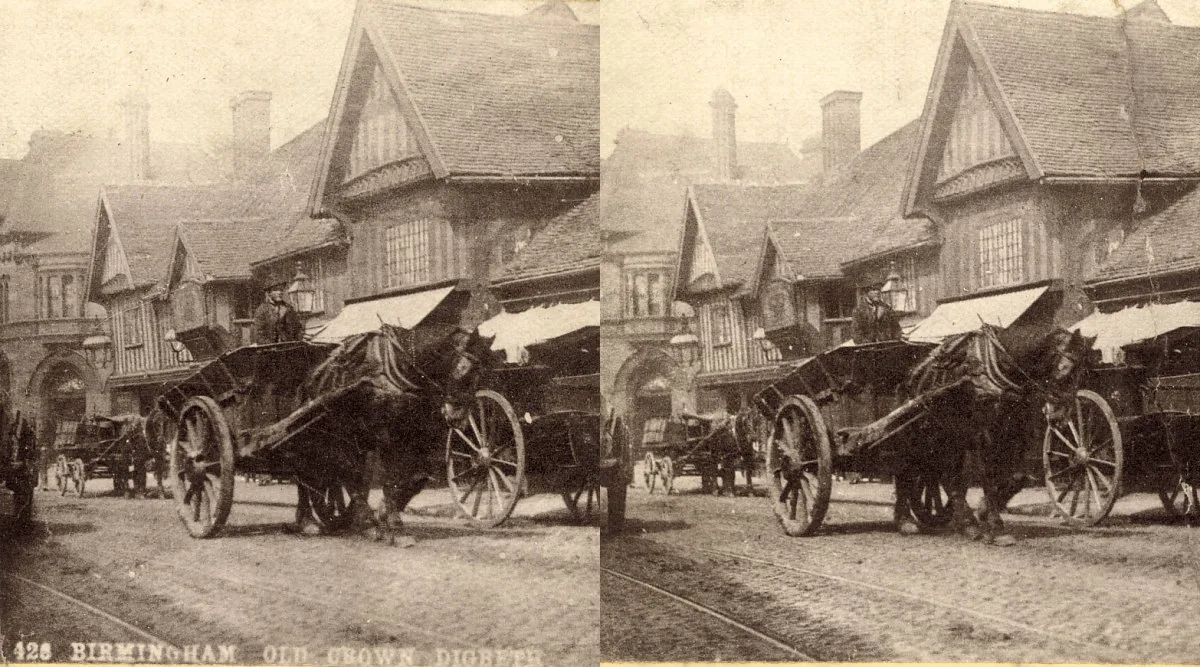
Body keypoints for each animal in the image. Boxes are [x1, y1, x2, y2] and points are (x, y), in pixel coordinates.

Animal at [290, 323, 496, 542]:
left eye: (485, 376)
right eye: (464, 372)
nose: (458, 418)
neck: (401, 373)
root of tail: (307, 382)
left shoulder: (416, 438)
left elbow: (416, 479)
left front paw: (386, 515)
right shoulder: (385, 437)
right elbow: (390, 480)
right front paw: (391, 525)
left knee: (337, 475)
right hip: (312, 438)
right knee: (307, 474)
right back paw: (310, 522)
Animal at [892, 321, 1099, 544]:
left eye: (1084, 375)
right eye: (1064, 370)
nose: (1061, 416)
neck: (1001, 368)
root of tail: (911, 376)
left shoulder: (1016, 433)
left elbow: (1017, 475)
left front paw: (983, 510)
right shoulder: (982, 436)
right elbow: (988, 476)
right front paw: (996, 526)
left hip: (948, 436)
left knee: (944, 475)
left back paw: (966, 523)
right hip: (916, 435)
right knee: (906, 469)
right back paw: (905, 520)